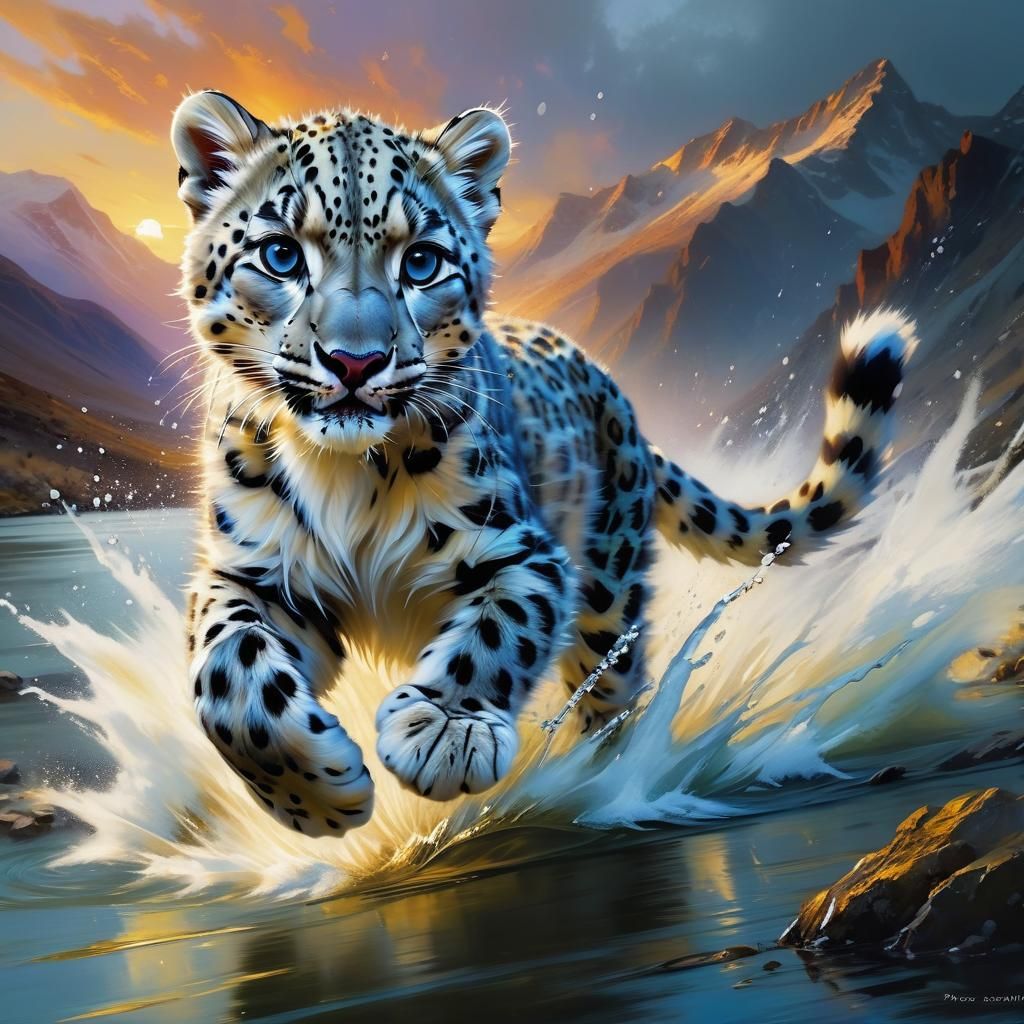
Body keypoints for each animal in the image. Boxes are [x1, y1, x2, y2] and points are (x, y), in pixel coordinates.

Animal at [170, 90, 916, 837]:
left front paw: (446, 731)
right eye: (280, 255)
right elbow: (227, 672)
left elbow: (498, 633)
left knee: (612, 694)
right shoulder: (254, 572)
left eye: (421, 263)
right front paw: (317, 798)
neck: (345, 473)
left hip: (608, 595)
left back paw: (599, 784)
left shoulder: (522, 552)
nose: (356, 362)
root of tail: (611, 386)